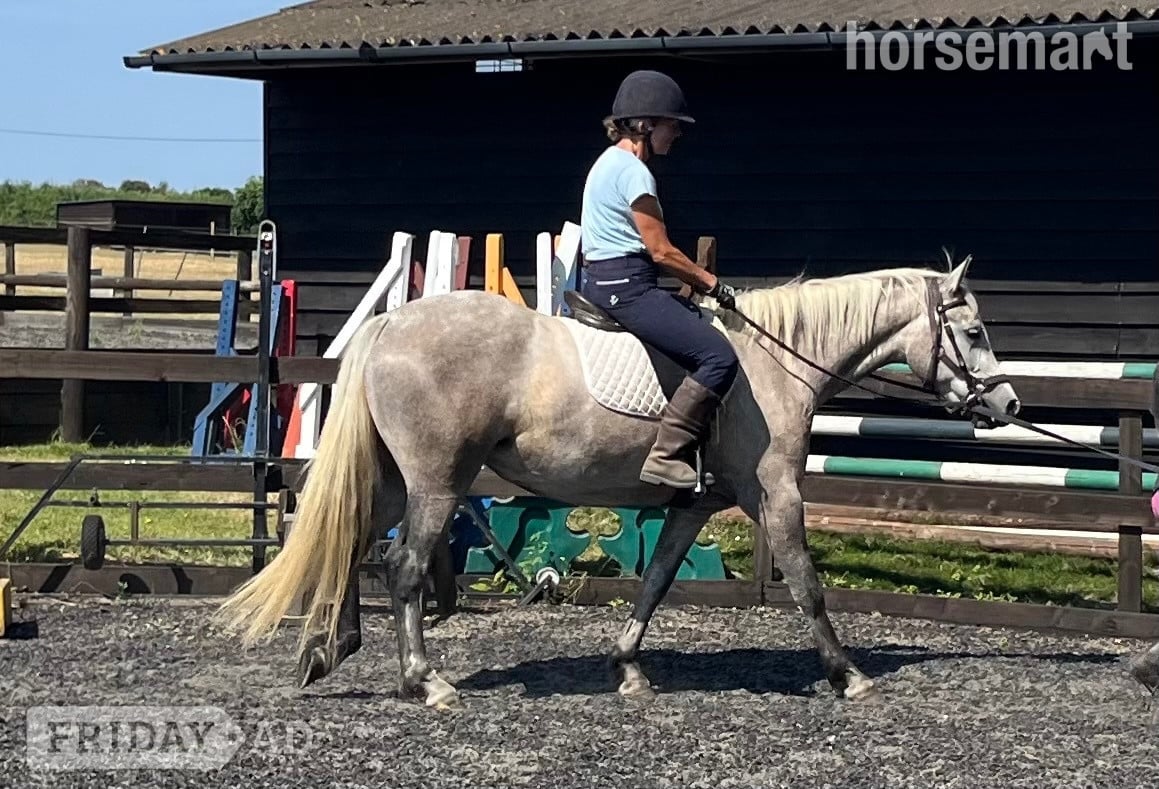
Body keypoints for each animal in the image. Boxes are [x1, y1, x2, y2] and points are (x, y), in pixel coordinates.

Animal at [214, 253, 1021, 709]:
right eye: (974, 331)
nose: (1008, 404)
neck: (773, 361)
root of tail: (390, 325)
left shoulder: (695, 507)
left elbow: (656, 581)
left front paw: (627, 669)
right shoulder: (777, 494)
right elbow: (805, 583)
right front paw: (846, 674)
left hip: (392, 478)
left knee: (351, 541)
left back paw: (329, 651)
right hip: (438, 482)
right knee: (403, 566)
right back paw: (425, 681)